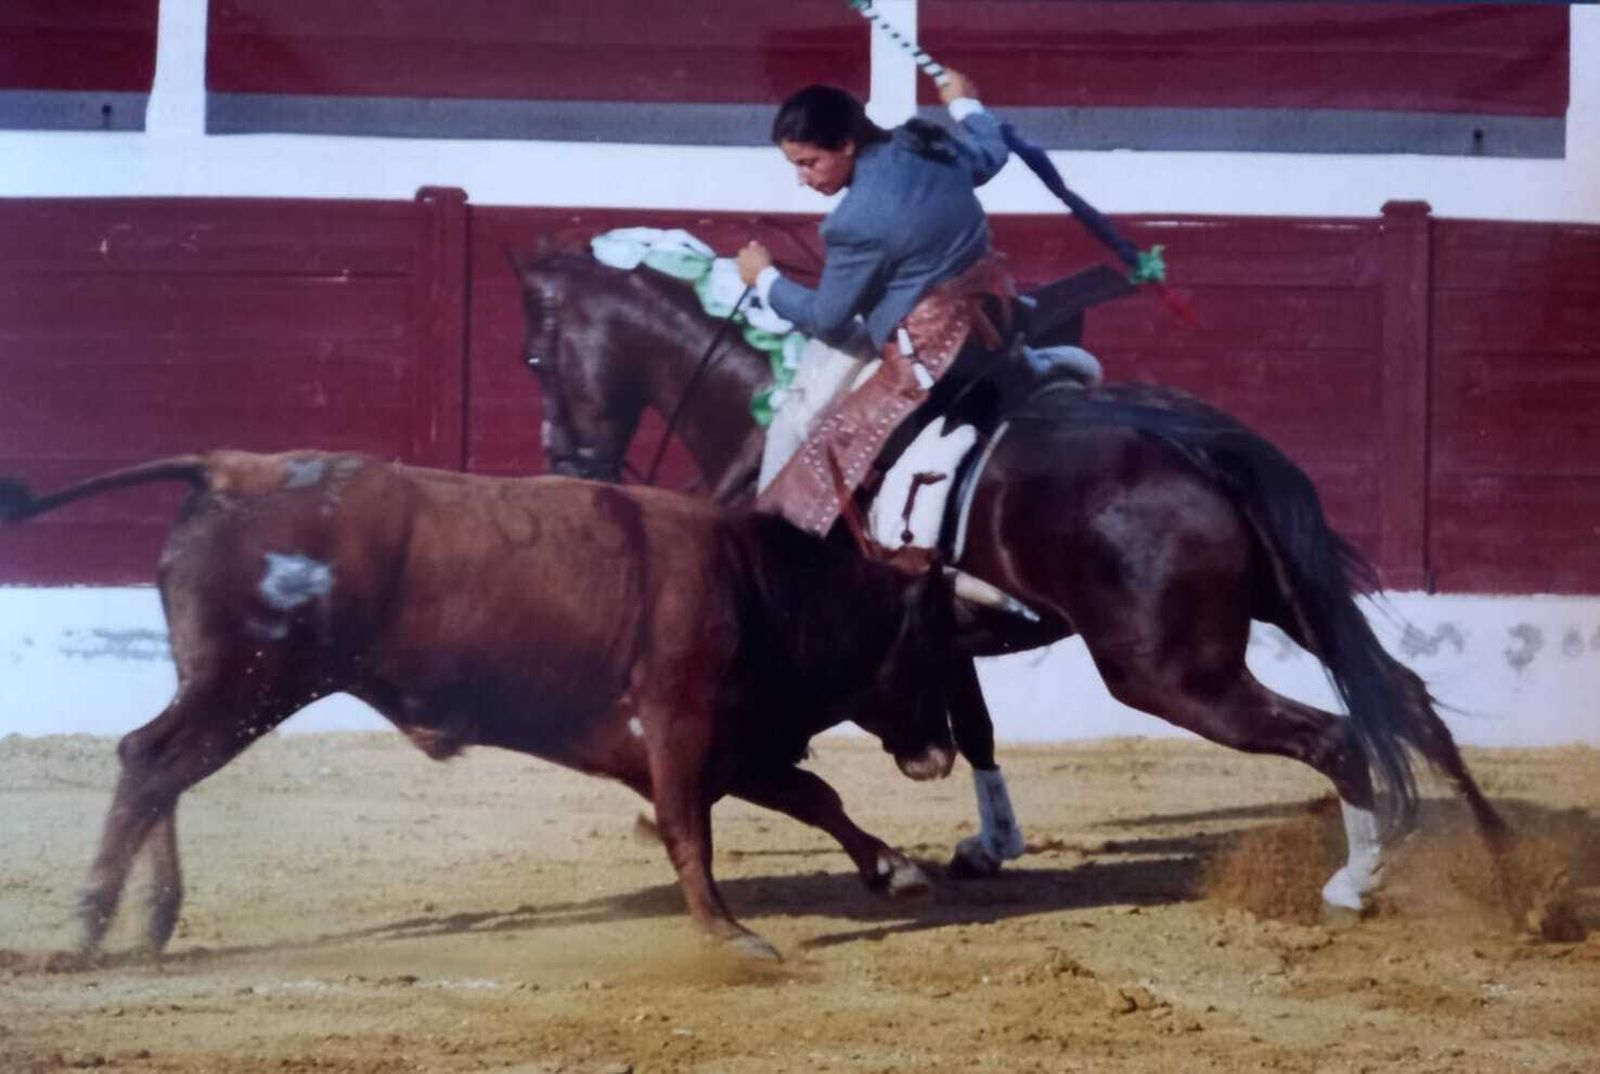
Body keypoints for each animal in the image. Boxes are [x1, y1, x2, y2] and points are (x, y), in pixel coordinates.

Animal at [512, 251, 1514, 921]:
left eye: (534, 360)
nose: (566, 463)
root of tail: (1199, 445)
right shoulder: (940, 641)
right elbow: (976, 727)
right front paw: (991, 845)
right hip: (1294, 604)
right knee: (1405, 696)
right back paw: (1509, 871)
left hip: (1170, 673)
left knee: (1334, 734)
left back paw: (1355, 882)